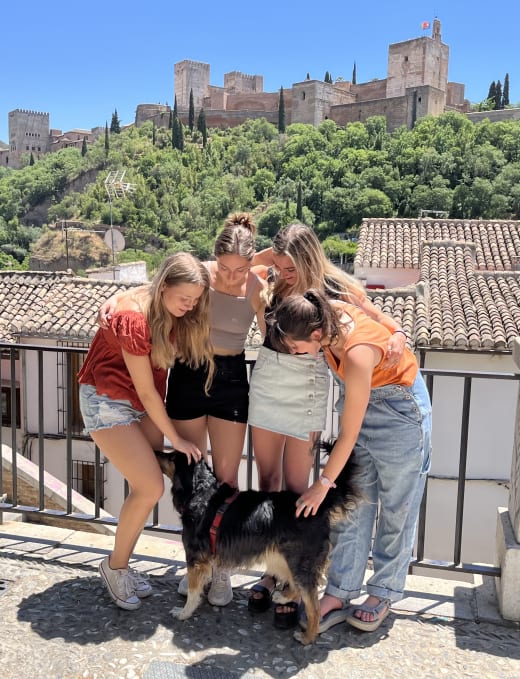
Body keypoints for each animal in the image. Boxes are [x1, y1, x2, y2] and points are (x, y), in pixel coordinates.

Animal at [155, 444, 362, 644]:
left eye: (172, 457)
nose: (156, 452)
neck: (201, 492)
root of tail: (319, 506)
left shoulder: (195, 558)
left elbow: (192, 591)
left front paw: (183, 613)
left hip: (299, 562)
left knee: (314, 606)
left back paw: (307, 638)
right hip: (282, 558)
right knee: (296, 587)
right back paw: (283, 597)